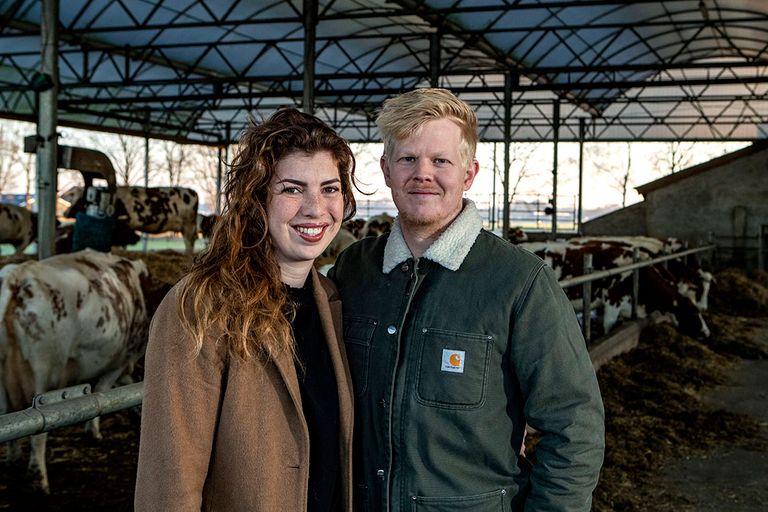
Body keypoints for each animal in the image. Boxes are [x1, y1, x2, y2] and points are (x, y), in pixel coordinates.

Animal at [0, 250, 170, 494]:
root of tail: (17, 277)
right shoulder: (119, 360)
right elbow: (104, 388)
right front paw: (94, 431)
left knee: (7, 411)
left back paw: (13, 458)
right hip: (44, 374)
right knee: (39, 429)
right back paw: (38, 478)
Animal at [64, 186, 200, 254]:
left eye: (81, 199)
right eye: (72, 197)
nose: (65, 212)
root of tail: (192, 191)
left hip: (188, 225)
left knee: (189, 244)